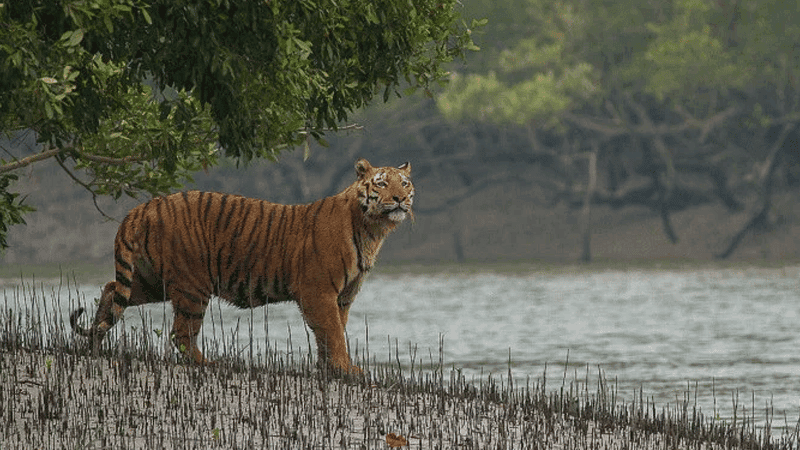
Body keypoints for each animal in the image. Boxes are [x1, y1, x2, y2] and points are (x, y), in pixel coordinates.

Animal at [70, 158, 414, 374]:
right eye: (382, 184)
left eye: (405, 183)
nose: (400, 198)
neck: (372, 229)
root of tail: (143, 207)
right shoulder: (319, 292)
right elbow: (332, 332)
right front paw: (345, 369)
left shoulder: (343, 296)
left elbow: (333, 332)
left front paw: (330, 368)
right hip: (192, 286)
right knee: (181, 334)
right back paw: (207, 364)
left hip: (151, 280)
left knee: (111, 290)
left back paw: (95, 346)